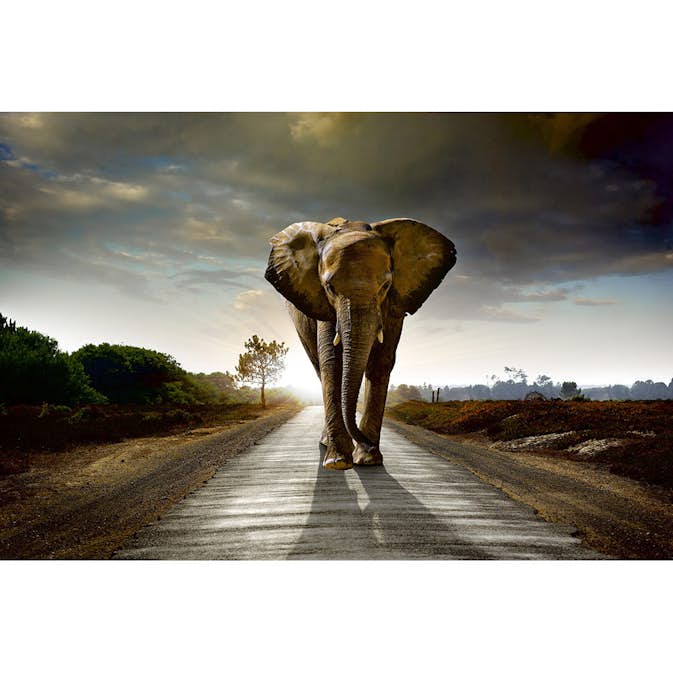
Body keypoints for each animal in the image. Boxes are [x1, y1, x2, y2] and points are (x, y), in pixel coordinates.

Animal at [265, 217, 456, 470]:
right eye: (329, 287)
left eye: (385, 286)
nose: (367, 443)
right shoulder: (323, 305)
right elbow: (332, 362)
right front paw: (338, 462)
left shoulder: (394, 304)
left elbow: (381, 362)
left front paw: (368, 460)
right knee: (319, 366)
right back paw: (328, 444)